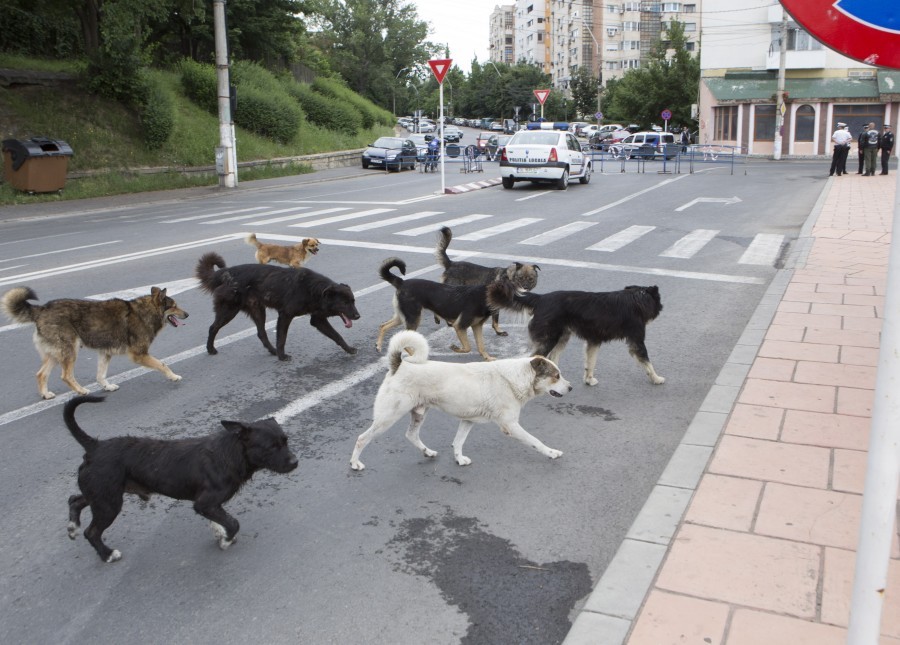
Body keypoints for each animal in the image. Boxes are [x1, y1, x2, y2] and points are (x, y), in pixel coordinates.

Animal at [65, 392, 302, 560]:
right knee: (92, 532)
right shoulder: (205, 503)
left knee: (75, 500)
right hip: (108, 502)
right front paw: (225, 540)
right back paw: (106, 554)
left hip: (101, 495)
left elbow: (220, 520)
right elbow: (233, 523)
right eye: (270, 447)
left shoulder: (209, 505)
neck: (230, 453)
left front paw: (219, 532)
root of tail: (95, 447)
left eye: (286, 440)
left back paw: (73, 527)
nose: (295, 462)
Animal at [350, 330, 568, 470]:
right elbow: (536, 441)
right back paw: (354, 463)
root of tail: (399, 365)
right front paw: (552, 452)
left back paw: (428, 452)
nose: (571, 387)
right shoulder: (511, 426)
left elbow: (458, 442)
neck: (515, 378)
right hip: (389, 416)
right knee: (362, 438)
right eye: (556, 376)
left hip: (419, 413)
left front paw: (459, 459)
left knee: (411, 435)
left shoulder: (468, 420)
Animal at [488, 282, 664, 388]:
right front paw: (656, 378)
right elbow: (647, 362)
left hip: (562, 337)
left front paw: (588, 380)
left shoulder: (594, 341)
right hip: (549, 339)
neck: (636, 298)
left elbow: (590, 362)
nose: (661, 307)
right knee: (533, 360)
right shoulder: (636, 341)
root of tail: (541, 299)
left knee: (552, 359)